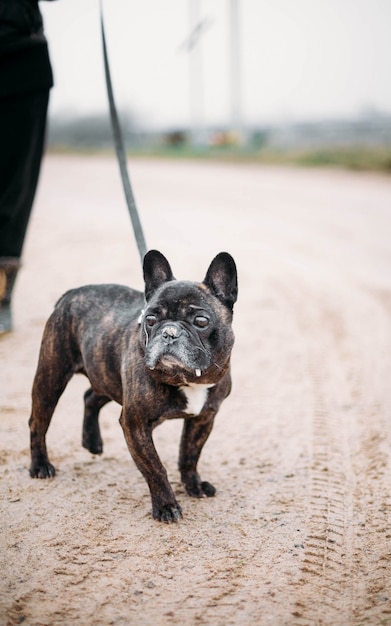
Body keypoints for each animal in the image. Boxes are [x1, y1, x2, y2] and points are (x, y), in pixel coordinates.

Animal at [29, 250, 237, 520]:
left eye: (201, 321)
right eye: (150, 318)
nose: (169, 332)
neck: (186, 379)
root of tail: (71, 294)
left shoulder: (203, 418)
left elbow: (190, 455)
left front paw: (194, 486)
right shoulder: (135, 423)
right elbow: (155, 468)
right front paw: (166, 506)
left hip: (107, 374)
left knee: (90, 396)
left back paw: (92, 441)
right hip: (51, 377)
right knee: (38, 422)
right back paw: (40, 466)